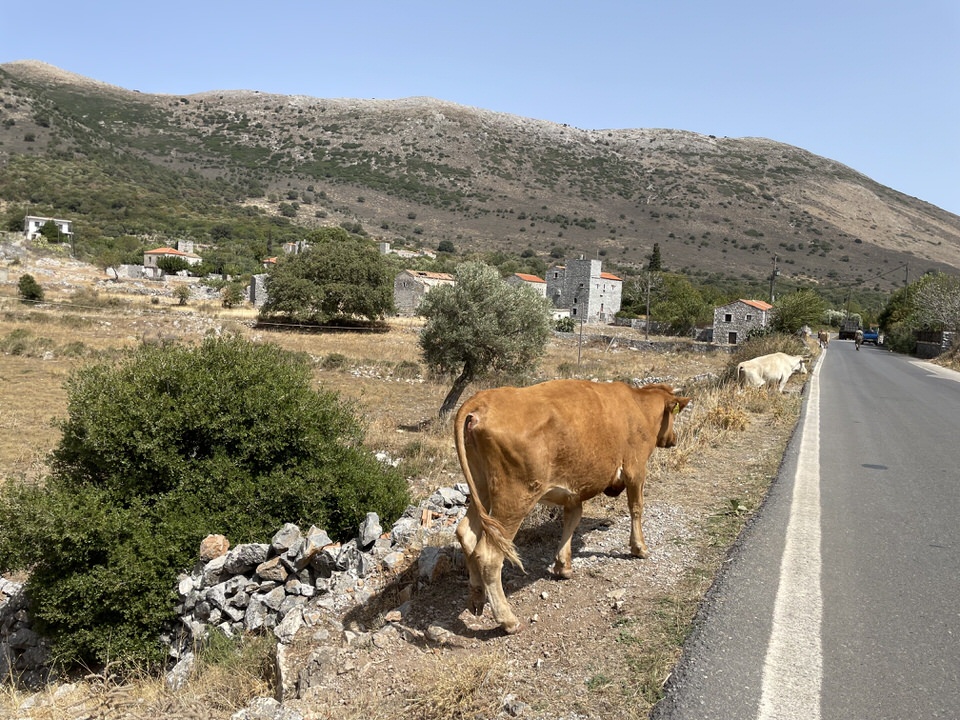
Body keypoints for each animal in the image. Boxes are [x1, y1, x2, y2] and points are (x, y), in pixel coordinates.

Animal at [452, 380, 688, 632]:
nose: (673, 438)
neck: (639, 405)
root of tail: (482, 399)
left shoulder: (574, 490)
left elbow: (572, 519)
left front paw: (563, 565)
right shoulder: (636, 469)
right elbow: (636, 507)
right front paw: (639, 548)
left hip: (481, 487)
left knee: (466, 533)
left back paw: (476, 598)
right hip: (514, 497)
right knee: (489, 554)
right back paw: (508, 619)